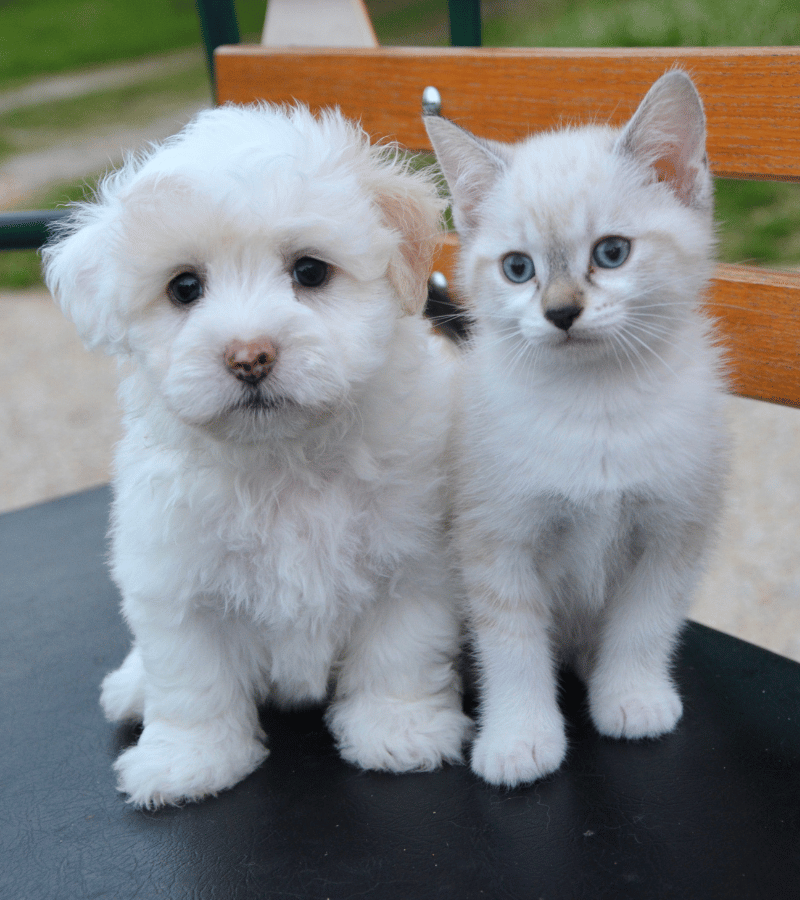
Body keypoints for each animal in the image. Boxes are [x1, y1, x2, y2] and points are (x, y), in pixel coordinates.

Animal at [43, 102, 468, 804]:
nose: (250, 357)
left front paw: (399, 730)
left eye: (310, 272)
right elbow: (192, 681)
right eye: (184, 287)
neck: (283, 462)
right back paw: (131, 687)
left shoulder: (411, 564)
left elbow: (398, 654)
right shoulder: (176, 583)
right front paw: (188, 760)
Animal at [428, 72, 728, 788]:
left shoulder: (673, 528)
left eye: (611, 254)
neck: (597, 407)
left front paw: (632, 695)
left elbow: (645, 623)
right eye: (517, 268)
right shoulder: (497, 538)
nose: (561, 312)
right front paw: (518, 738)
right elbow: (512, 647)